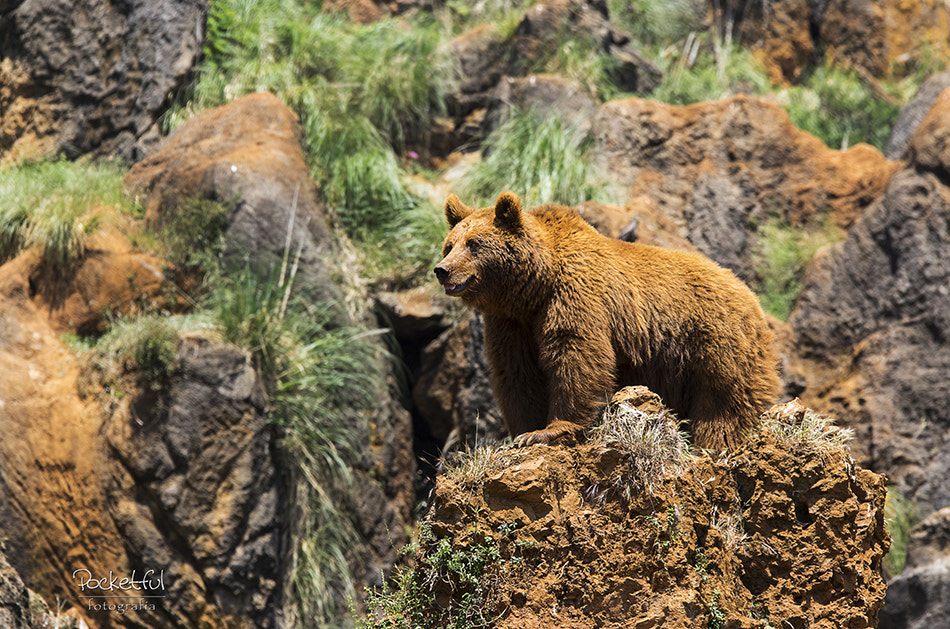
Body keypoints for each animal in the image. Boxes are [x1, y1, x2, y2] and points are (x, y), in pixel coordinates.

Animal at [436, 189, 780, 448]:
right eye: (449, 245)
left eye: (474, 244)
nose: (442, 270)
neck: (534, 287)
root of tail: (753, 299)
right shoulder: (510, 323)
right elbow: (516, 373)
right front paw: (523, 431)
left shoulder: (576, 296)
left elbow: (576, 354)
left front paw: (549, 429)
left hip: (715, 343)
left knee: (723, 402)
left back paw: (714, 443)